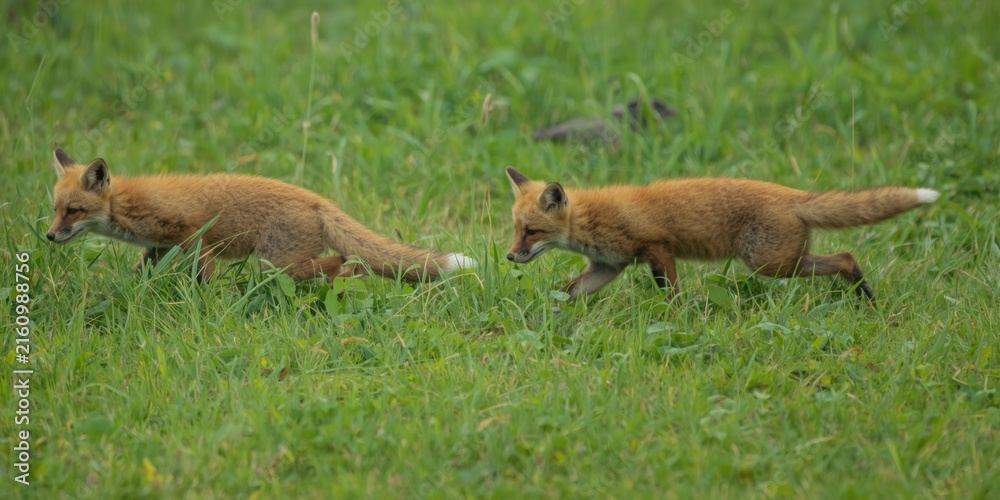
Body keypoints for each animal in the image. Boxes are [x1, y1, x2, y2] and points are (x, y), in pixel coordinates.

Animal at [45, 148, 475, 283]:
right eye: (54, 210)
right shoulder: (160, 246)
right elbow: (141, 272)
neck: (125, 207)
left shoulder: (193, 234)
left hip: (273, 261)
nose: (49, 236)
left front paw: (208, 303)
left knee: (342, 260)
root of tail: (315, 198)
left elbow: (205, 275)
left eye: (73, 211)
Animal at [504, 167, 939, 302]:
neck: (591, 220)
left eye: (532, 232)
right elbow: (567, 292)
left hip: (769, 264)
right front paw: (544, 315)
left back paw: (866, 297)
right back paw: (865, 297)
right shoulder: (608, 266)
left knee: (844, 257)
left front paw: (677, 322)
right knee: (847, 258)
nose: (509, 257)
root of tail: (793, 195)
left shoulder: (658, 247)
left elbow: (674, 298)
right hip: (781, 262)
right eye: (516, 230)